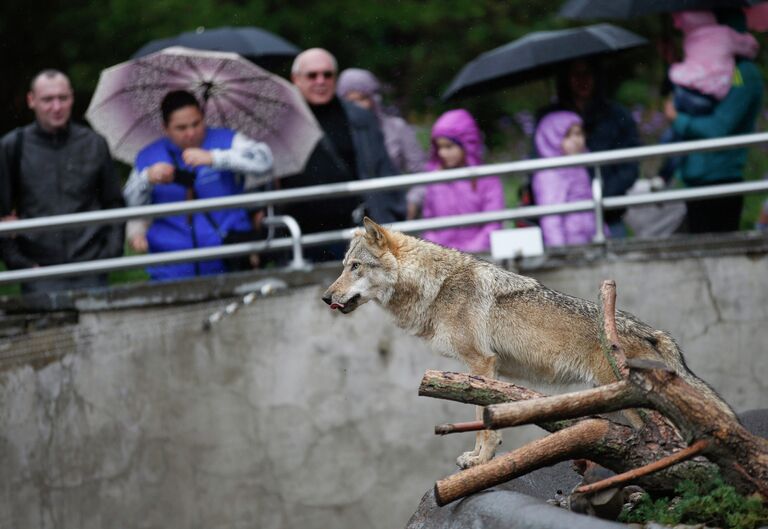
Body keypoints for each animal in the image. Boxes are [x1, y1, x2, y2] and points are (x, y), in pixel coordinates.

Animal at [320, 218, 736, 466]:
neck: (434, 287)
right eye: (342, 266)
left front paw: (480, 462)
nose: (325, 297)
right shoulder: (483, 370)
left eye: (355, 267)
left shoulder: (481, 364)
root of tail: (656, 333)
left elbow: (483, 423)